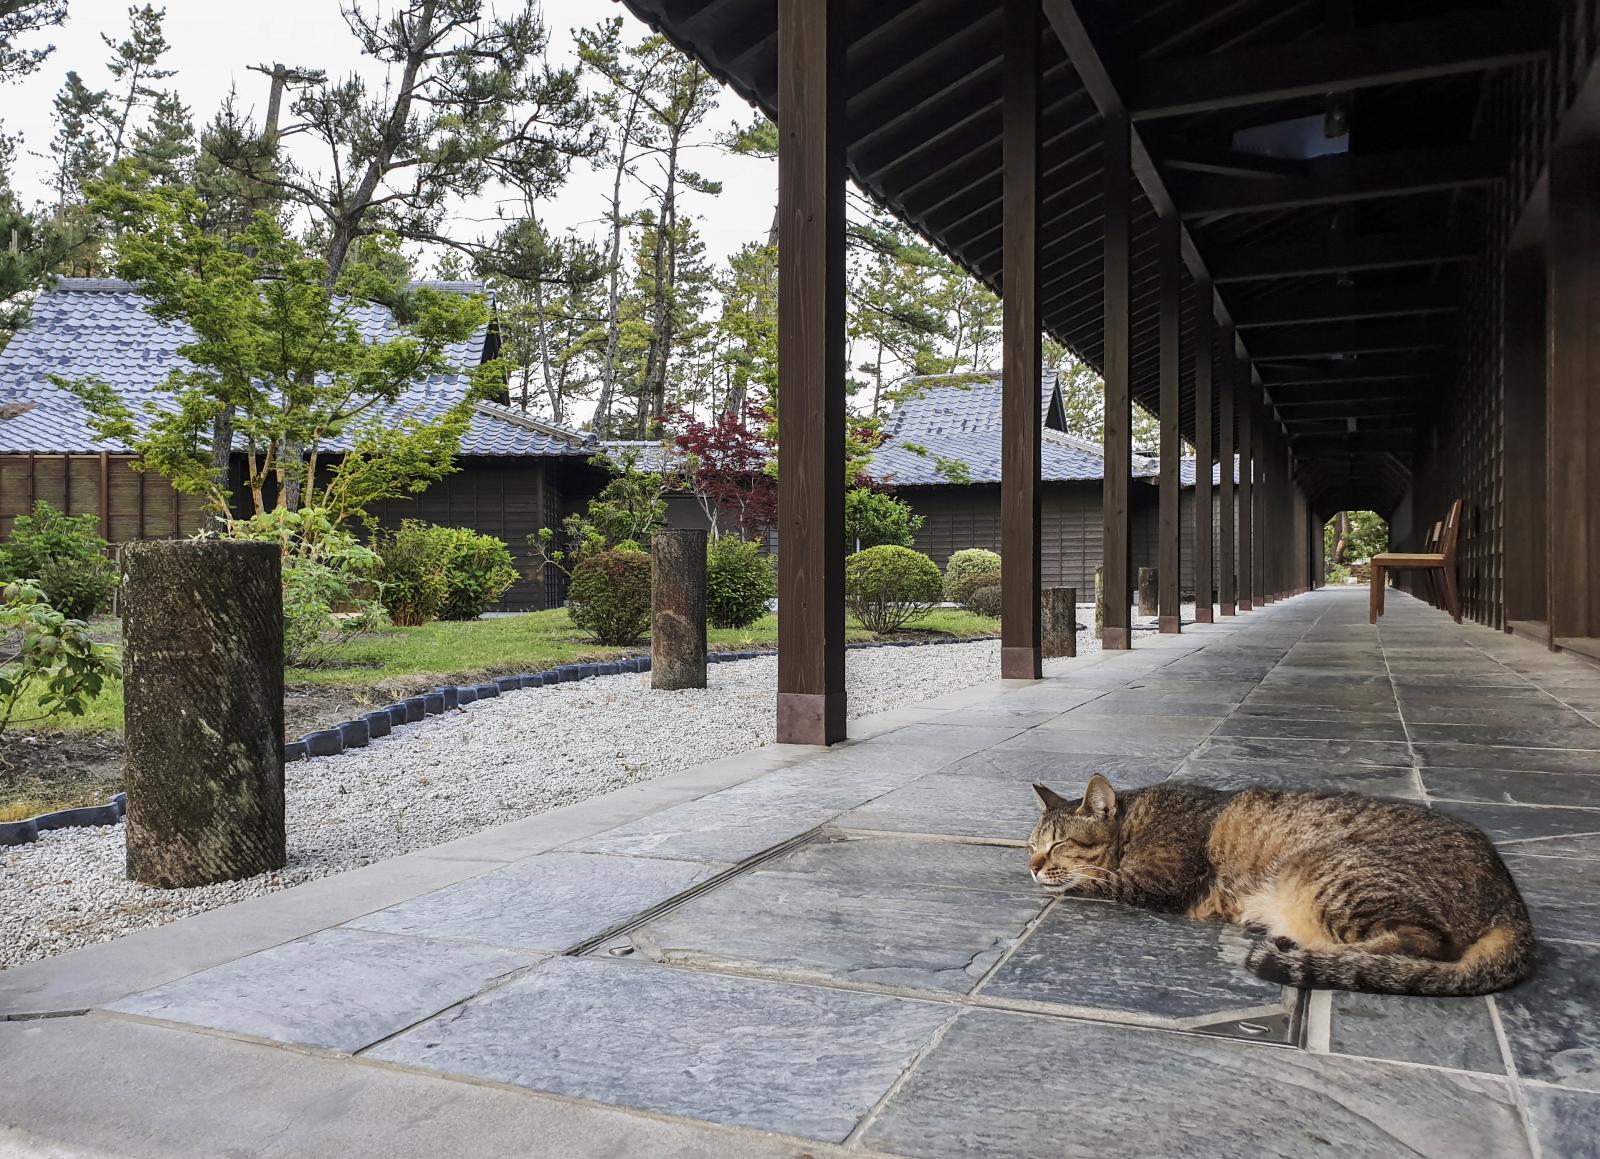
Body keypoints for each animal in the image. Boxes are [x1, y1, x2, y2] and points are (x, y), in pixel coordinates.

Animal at [1024, 774, 1536, 992]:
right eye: (1029, 843)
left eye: (1058, 844)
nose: (1031, 865)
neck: (1135, 821)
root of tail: (1511, 899)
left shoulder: (1162, 880)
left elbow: (1100, 880)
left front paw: (1067, 881)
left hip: (1332, 873)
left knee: (1422, 943)